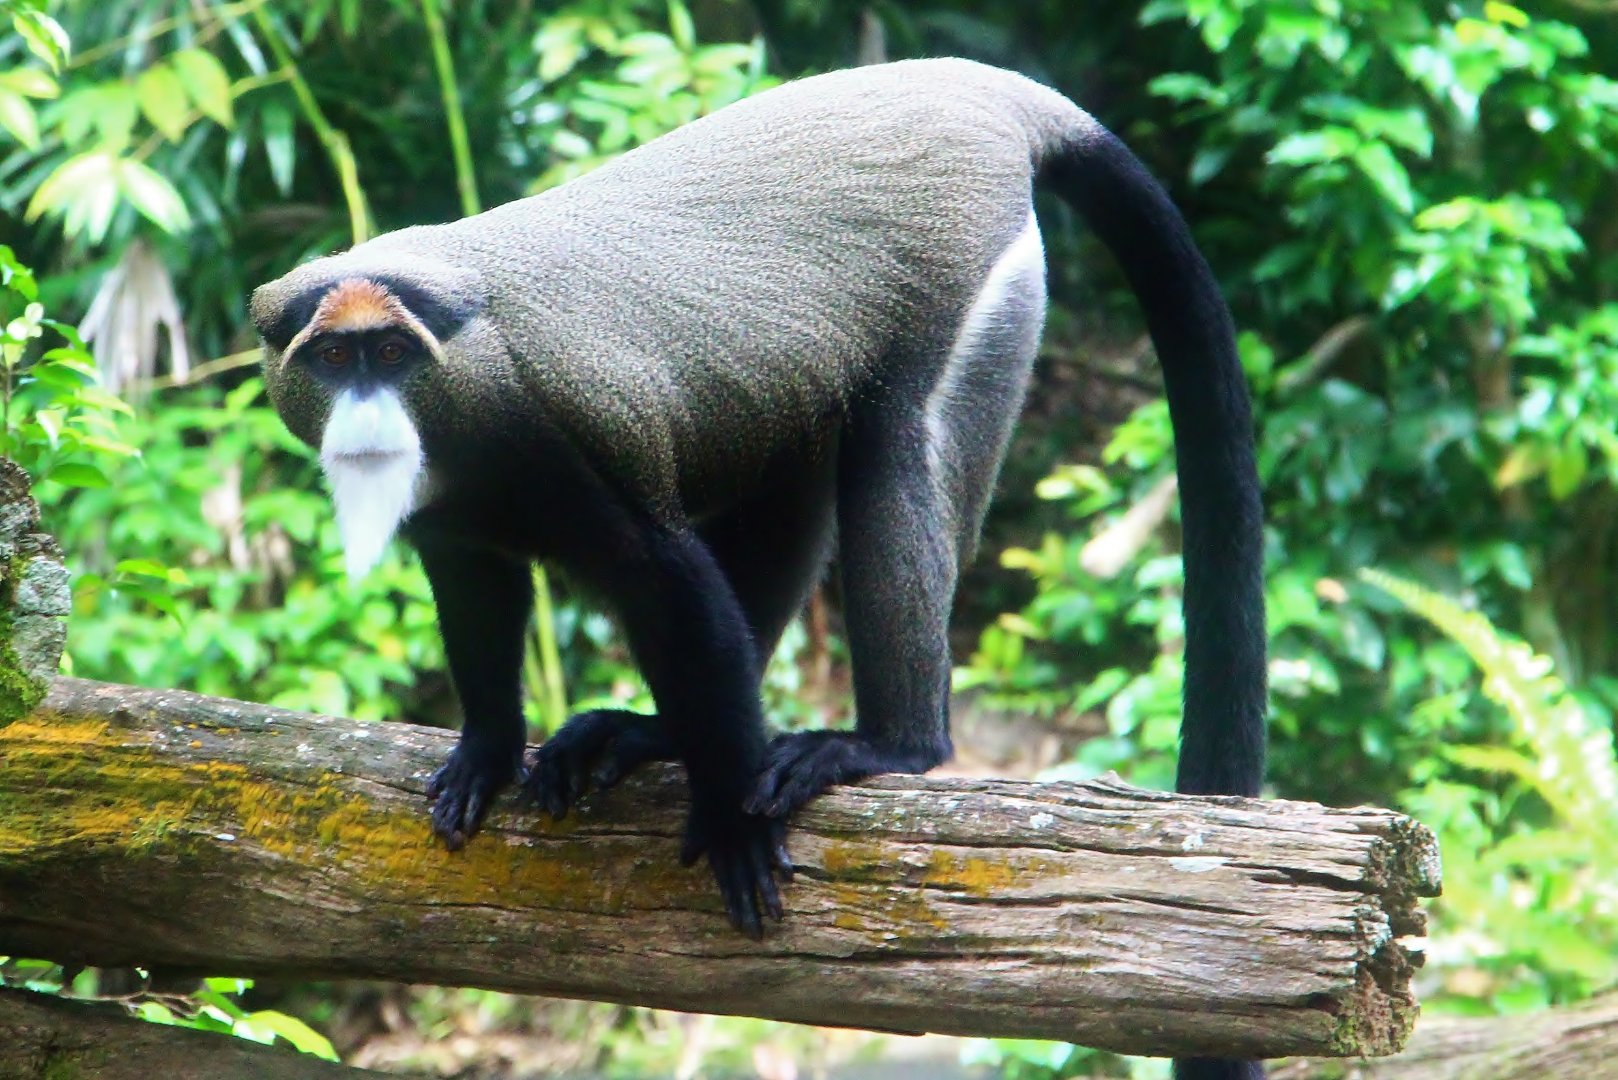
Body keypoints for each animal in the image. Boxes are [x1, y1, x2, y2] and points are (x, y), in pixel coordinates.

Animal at [252, 58, 1266, 1080]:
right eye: (332, 357)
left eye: (390, 353)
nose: (365, 412)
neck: (466, 381)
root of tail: (981, 87)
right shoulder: (457, 521)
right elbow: (478, 593)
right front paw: (486, 752)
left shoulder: (569, 441)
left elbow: (673, 587)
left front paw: (735, 825)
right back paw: (654, 732)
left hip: (967, 295)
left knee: (894, 459)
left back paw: (892, 743)